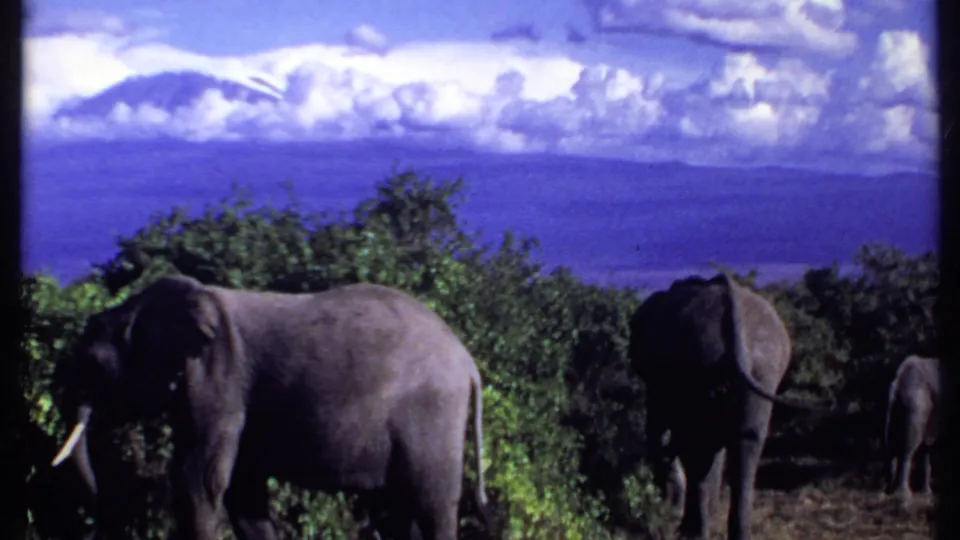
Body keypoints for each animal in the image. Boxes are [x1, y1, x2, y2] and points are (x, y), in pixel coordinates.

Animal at [49, 274, 490, 540]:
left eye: (94, 365)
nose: (100, 503)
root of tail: (468, 364)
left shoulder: (219, 378)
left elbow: (199, 479)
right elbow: (242, 490)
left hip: (433, 415)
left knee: (432, 505)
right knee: (400, 509)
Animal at [628, 273, 818, 540]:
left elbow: (660, 430)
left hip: (702, 363)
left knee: (700, 450)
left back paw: (695, 532)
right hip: (762, 370)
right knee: (746, 443)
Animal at [883, 354, 942, 502]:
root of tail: (897, 380)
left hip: (899, 408)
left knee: (894, 446)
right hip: (915, 405)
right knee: (908, 447)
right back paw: (903, 495)